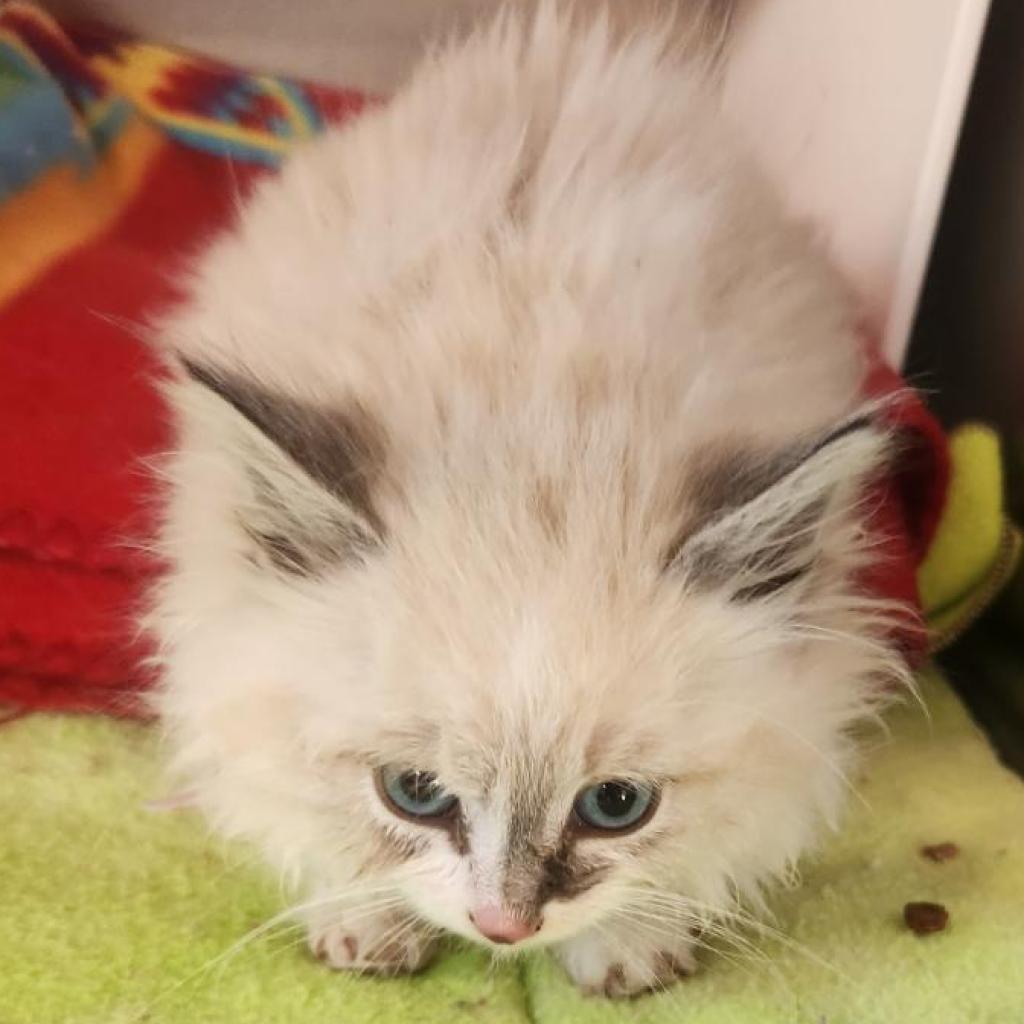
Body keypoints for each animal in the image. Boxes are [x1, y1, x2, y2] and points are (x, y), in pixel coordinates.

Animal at [149, 0, 905, 995]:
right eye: (415, 794)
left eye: (616, 805)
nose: (503, 929)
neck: (535, 425)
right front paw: (363, 924)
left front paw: (628, 949)